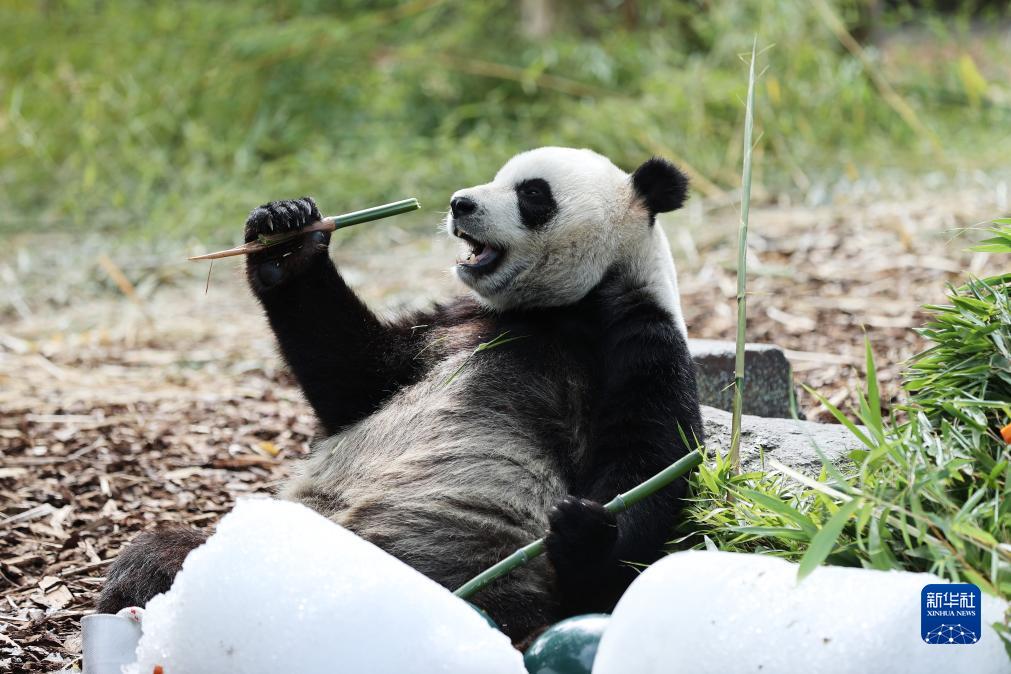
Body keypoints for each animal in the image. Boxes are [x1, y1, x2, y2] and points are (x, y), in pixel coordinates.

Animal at [102, 147, 703, 642]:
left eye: (533, 193)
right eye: (498, 176)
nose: (461, 203)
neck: (558, 307)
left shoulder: (636, 339)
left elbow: (649, 461)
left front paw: (585, 531)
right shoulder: (454, 321)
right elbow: (355, 374)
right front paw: (287, 235)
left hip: (479, 576)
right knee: (161, 557)